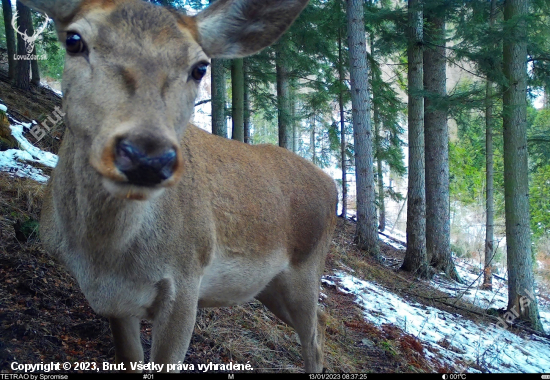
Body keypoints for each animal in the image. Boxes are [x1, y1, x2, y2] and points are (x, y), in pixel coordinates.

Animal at [21, 0, 338, 374]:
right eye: (73, 41)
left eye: (200, 68)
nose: (147, 156)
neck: (103, 258)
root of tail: (332, 184)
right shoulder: (116, 302)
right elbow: (130, 359)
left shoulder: (186, 277)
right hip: (270, 288)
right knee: (321, 323)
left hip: (306, 270)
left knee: (314, 337)